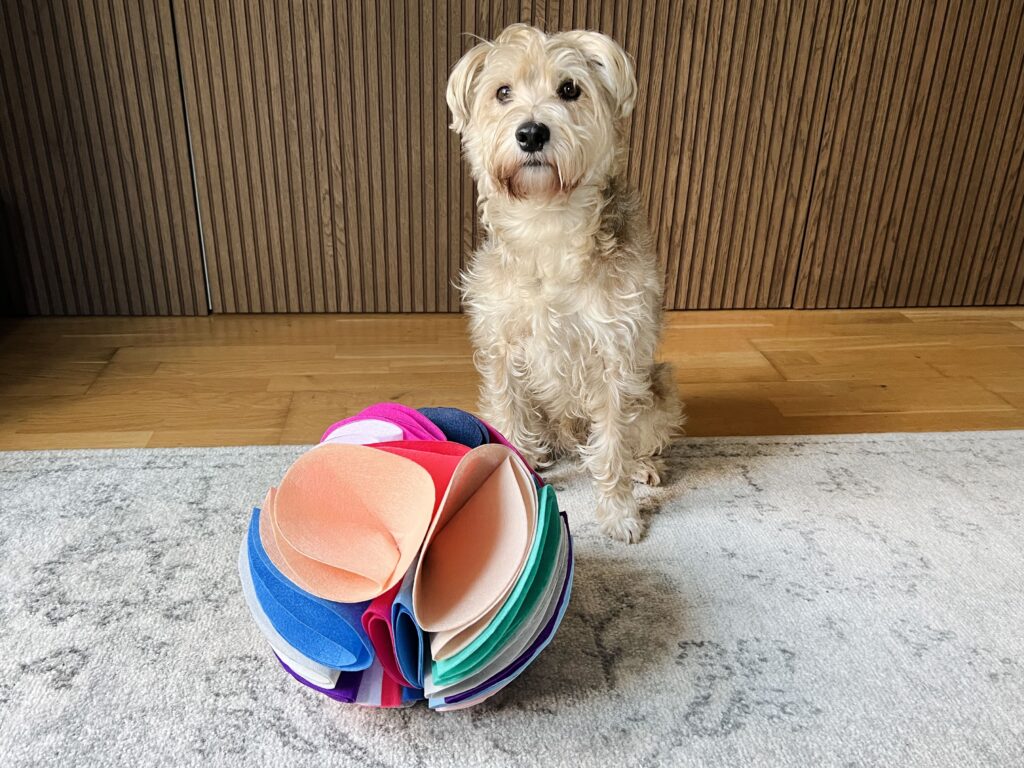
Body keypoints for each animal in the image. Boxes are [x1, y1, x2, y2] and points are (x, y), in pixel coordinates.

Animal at [446, 22, 679, 540]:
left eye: (570, 89)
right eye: (503, 92)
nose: (531, 132)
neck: (547, 222)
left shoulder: (616, 352)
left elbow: (612, 444)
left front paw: (619, 513)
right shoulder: (502, 348)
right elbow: (510, 418)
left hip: (657, 391)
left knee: (639, 436)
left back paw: (643, 467)